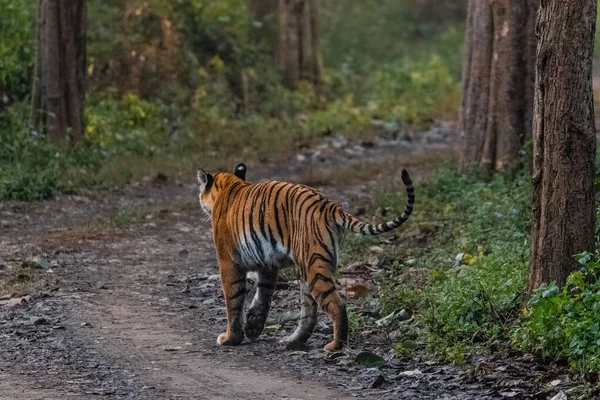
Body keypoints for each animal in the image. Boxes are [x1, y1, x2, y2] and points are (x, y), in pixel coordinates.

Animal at [199, 162, 414, 350]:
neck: (229, 185)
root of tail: (330, 205)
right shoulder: (267, 265)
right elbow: (263, 296)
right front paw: (252, 326)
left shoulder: (228, 262)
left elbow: (233, 300)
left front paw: (230, 338)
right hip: (308, 269)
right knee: (309, 313)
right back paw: (293, 341)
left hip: (313, 266)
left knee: (336, 305)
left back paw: (335, 346)